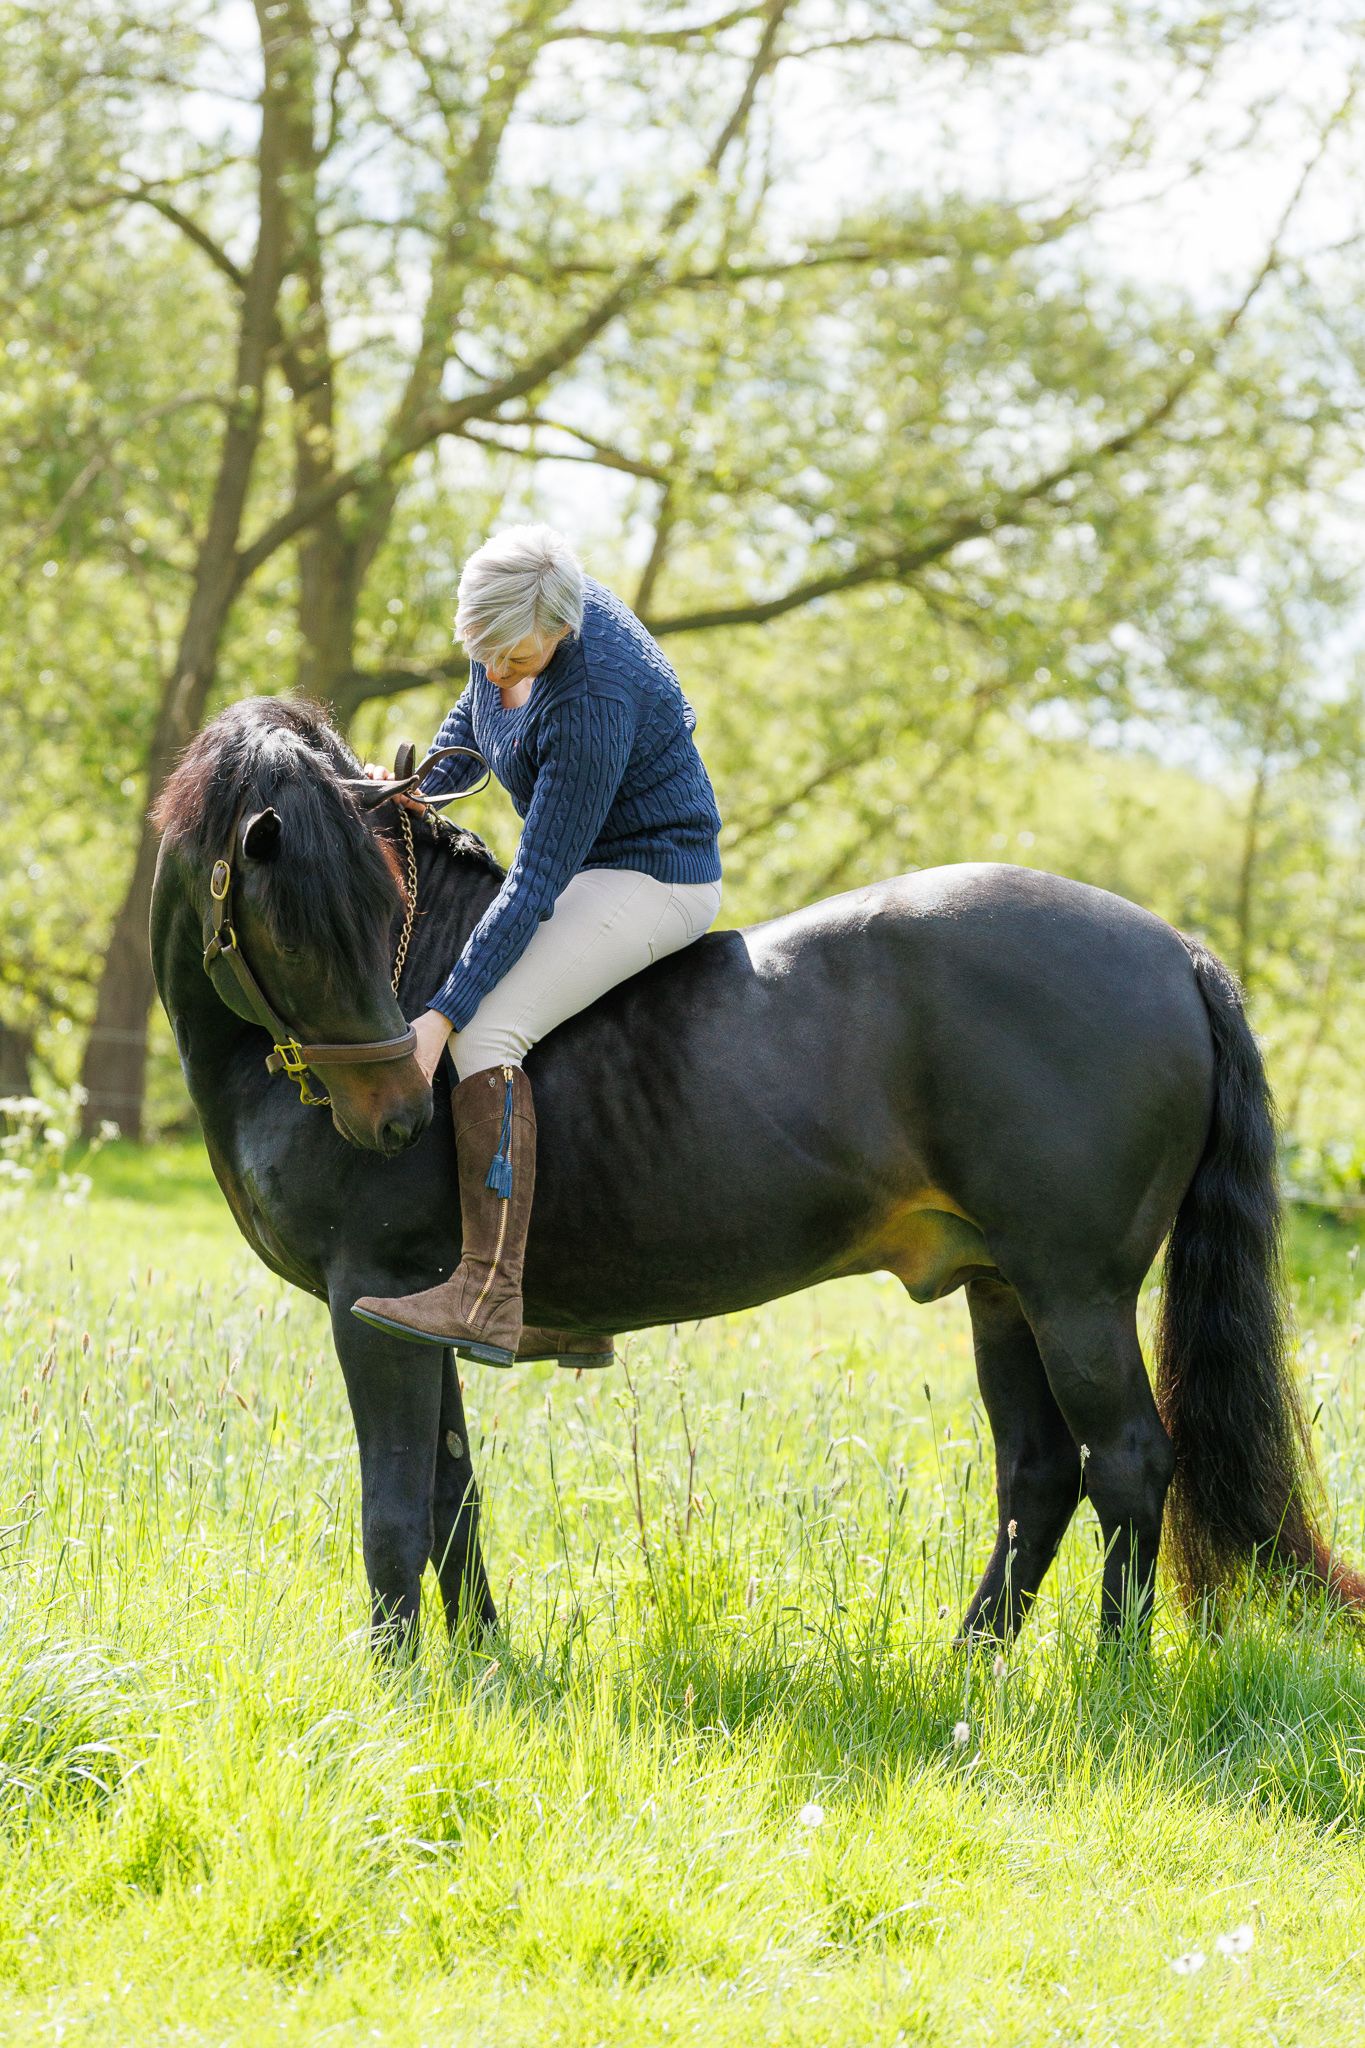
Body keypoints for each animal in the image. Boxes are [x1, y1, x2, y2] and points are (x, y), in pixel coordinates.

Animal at [148, 695, 1364, 1651]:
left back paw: (1111, 1679)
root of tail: (1176, 951)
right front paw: (483, 1666)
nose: (397, 1115)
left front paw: (399, 1689)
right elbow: (455, 1498)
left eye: (380, 910)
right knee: (1039, 1476)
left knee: (1126, 1465)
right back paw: (969, 1671)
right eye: (297, 930)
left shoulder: (370, 1303)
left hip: (1075, 1292)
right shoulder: (413, 1313)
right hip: (1003, 1289)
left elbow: (396, 1509)